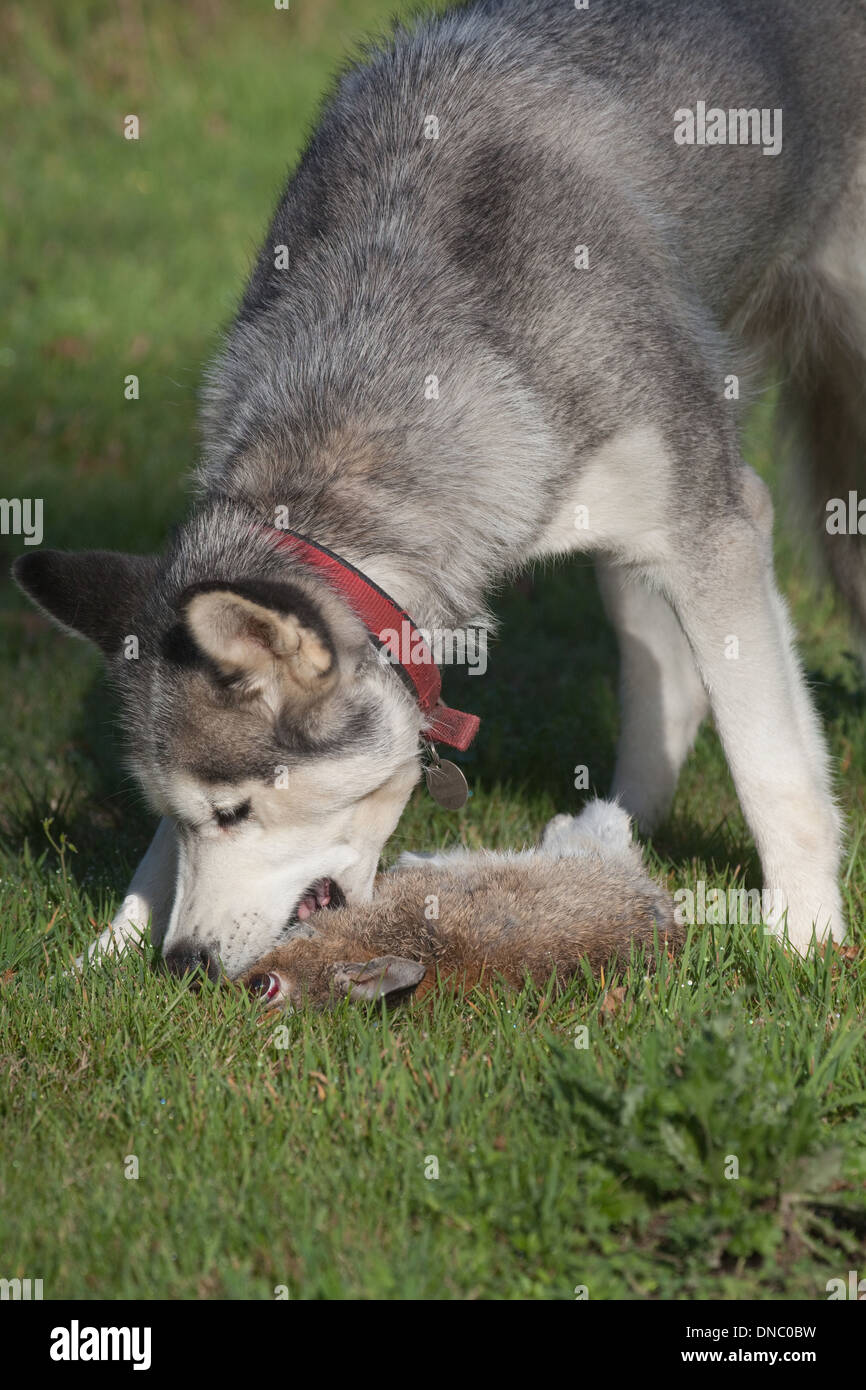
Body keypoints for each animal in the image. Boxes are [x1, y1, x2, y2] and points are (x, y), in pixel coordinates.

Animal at [10, 0, 861, 973]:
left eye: (235, 813)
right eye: (179, 815)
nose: (185, 964)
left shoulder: (713, 525)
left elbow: (774, 770)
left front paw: (805, 934)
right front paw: (112, 945)